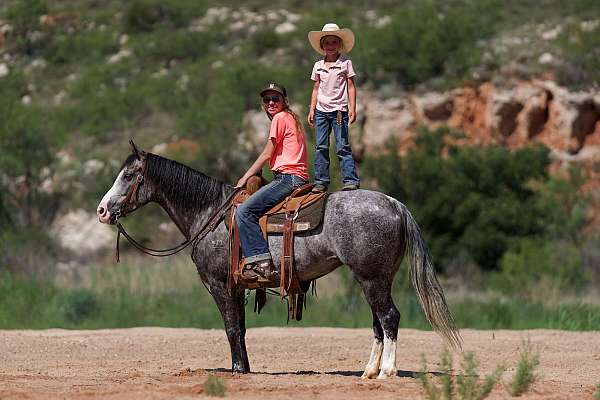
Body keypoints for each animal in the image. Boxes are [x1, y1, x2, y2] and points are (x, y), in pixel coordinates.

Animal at [96, 142, 460, 380]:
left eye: (129, 175)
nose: (102, 210)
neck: (210, 213)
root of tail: (394, 204)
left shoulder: (218, 284)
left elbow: (231, 327)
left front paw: (238, 371)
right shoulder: (238, 286)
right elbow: (240, 328)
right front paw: (243, 368)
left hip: (372, 279)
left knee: (389, 317)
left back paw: (386, 371)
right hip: (376, 279)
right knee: (378, 322)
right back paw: (369, 371)